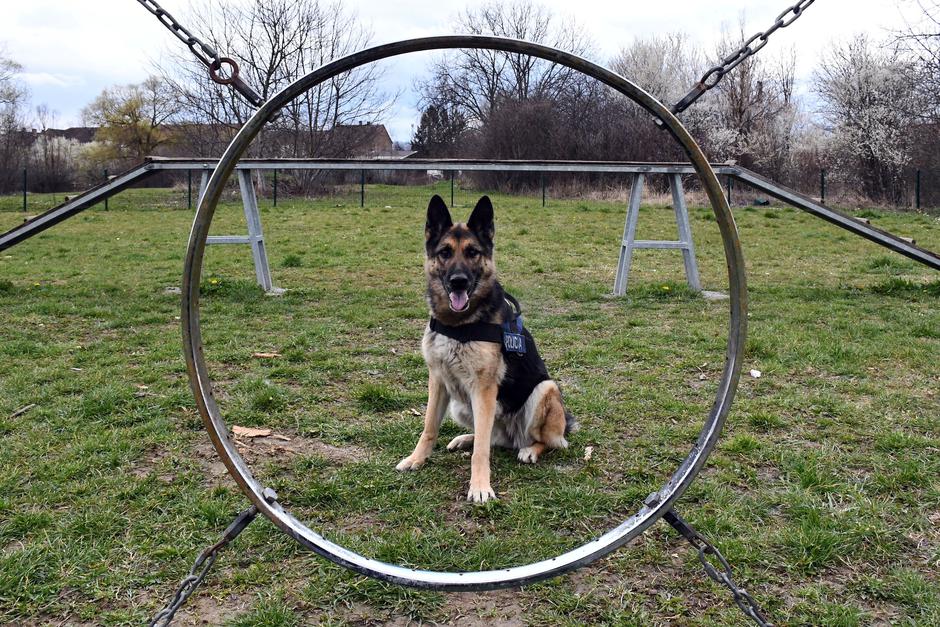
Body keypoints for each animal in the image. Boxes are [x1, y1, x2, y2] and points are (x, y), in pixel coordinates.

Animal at [394, 194, 576, 502]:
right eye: (445, 252)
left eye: (473, 252)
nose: (458, 281)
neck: (458, 324)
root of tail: (513, 436)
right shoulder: (438, 381)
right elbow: (429, 428)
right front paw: (416, 459)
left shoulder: (483, 388)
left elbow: (480, 452)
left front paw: (480, 487)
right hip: (460, 405)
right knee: (491, 438)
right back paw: (465, 438)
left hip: (546, 389)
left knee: (548, 441)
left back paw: (530, 450)